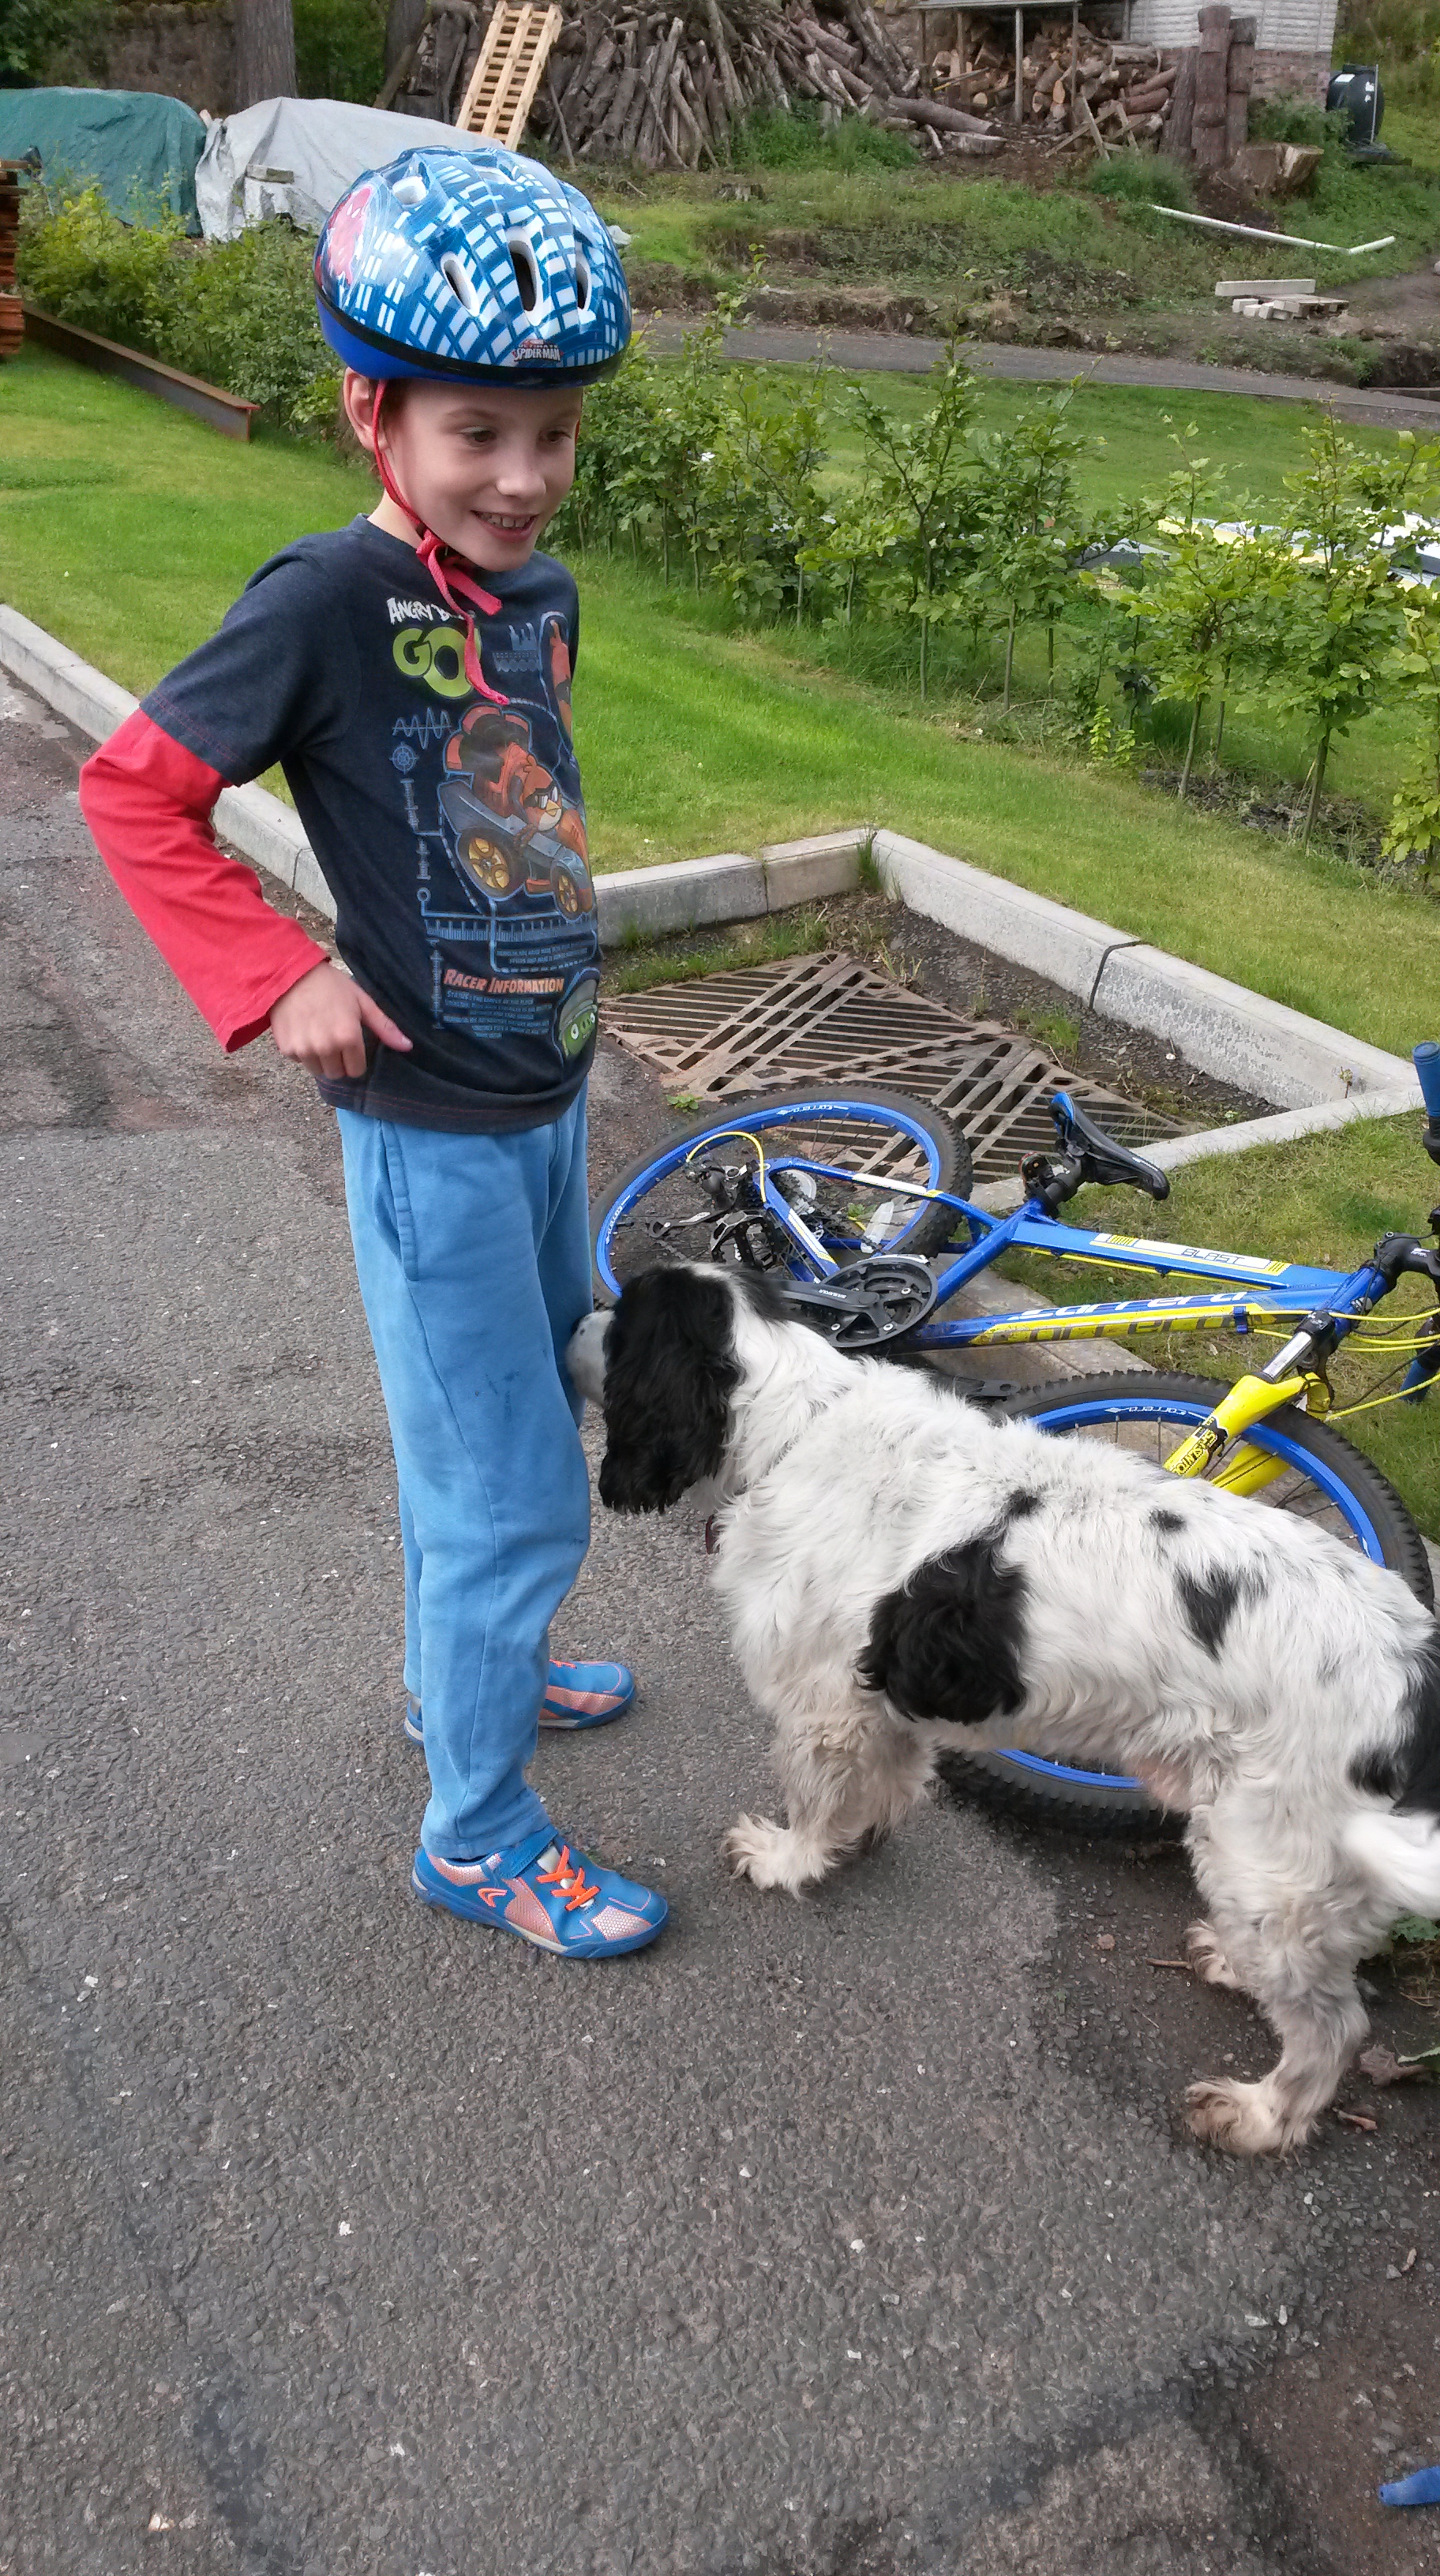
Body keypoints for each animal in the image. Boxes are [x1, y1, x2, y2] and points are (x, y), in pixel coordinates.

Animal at [568, 1263, 1440, 2157]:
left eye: (623, 1318)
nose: (569, 1320)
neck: (798, 1425)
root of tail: (1417, 1670)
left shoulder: (821, 1705)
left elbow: (811, 1803)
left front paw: (785, 1859)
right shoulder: (874, 1700)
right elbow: (880, 1783)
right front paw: (859, 1833)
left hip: (1266, 1851)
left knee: (1333, 2027)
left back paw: (1259, 2116)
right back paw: (1232, 1966)